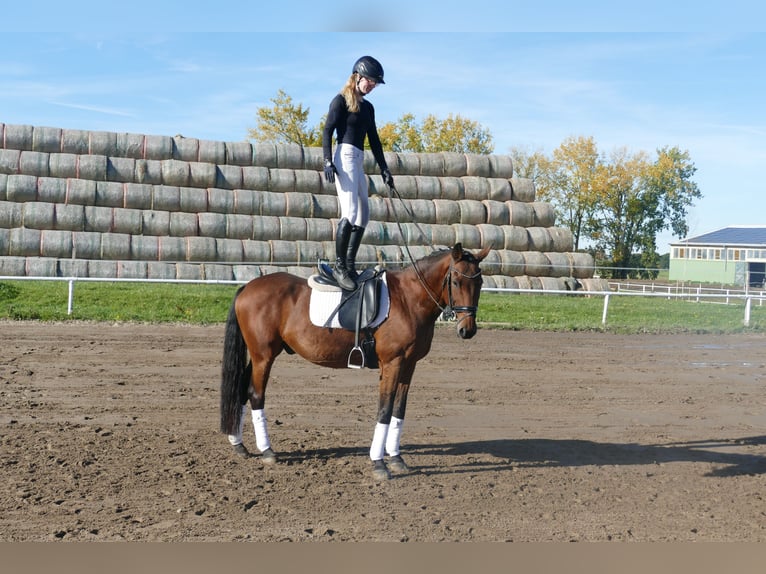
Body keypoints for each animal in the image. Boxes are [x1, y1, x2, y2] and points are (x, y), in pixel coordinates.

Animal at [219, 242, 490, 480]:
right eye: (455, 281)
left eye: (479, 282)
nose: (468, 330)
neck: (408, 298)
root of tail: (247, 287)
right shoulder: (392, 363)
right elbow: (384, 409)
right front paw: (379, 463)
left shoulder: (409, 364)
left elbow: (399, 409)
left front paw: (396, 458)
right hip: (263, 356)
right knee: (255, 394)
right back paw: (266, 450)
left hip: (257, 356)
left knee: (240, 390)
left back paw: (238, 444)